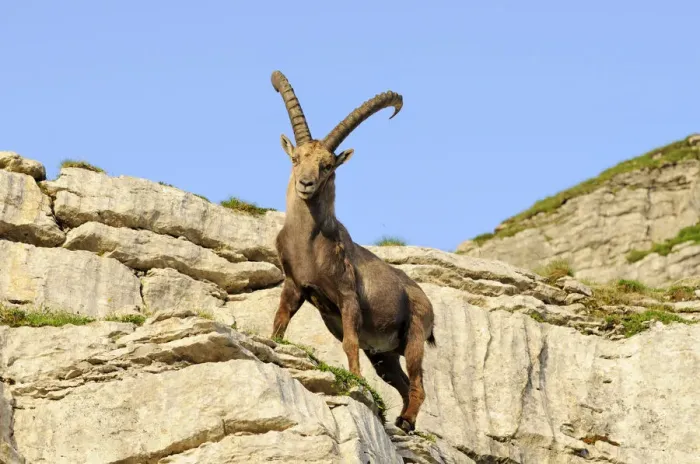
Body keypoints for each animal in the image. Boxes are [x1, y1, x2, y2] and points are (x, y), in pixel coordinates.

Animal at [269, 70, 436, 433]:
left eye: (328, 166)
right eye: (295, 159)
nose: (305, 184)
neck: (309, 245)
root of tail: (426, 300)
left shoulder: (348, 297)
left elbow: (349, 342)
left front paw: (356, 382)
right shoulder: (294, 285)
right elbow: (279, 323)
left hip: (415, 336)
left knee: (418, 383)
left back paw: (406, 422)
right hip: (384, 355)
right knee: (402, 383)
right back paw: (403, 419)